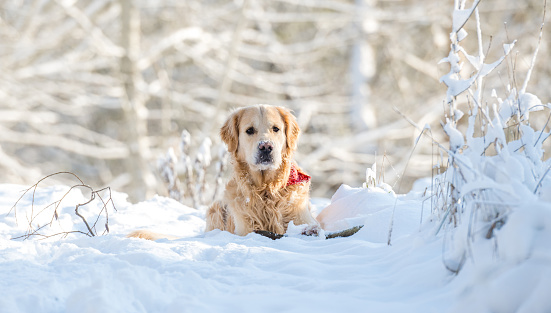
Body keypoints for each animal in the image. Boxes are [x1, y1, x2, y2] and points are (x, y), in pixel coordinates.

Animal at [206, 103, 320, 235]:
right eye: (249, 130)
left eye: (275, 128)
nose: (266, 146)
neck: (266, 189)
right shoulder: (244, 229)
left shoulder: (301, 216)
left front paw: (310, 229)